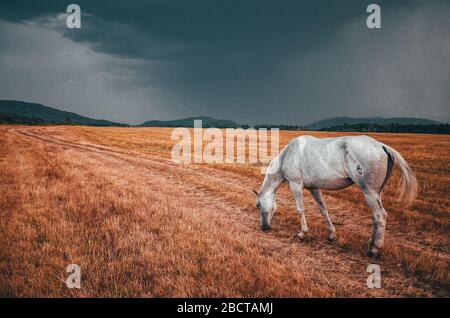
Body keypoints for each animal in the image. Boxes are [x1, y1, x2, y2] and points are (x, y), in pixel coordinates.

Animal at [255, 135, 416, 258]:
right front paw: (331, 234)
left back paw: (375, 249)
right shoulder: (314, 188)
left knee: (381, 216)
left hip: (369, 192)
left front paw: (302, 233)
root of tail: (381, 146)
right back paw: (370, 244)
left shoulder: (296, 184)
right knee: (375, 217)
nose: (263, 227)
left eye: (258, 205)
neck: (288, 154)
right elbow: (323, 210)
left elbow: (300, 209)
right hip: (377, 193)